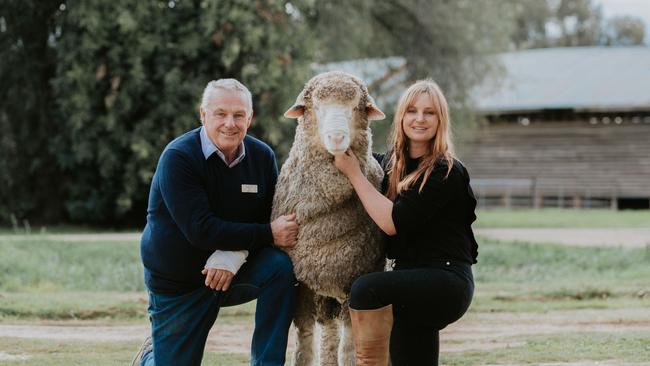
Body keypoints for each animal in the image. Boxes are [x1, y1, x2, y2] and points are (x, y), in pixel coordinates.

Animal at [270, 70, 384, 364]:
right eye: (317, 107)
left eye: (355, 107)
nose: (336, 137)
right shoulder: (301, 284)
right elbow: (305, 341)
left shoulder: (355, 280)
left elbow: (351, 347)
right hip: (324, 292)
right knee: (328, 336)